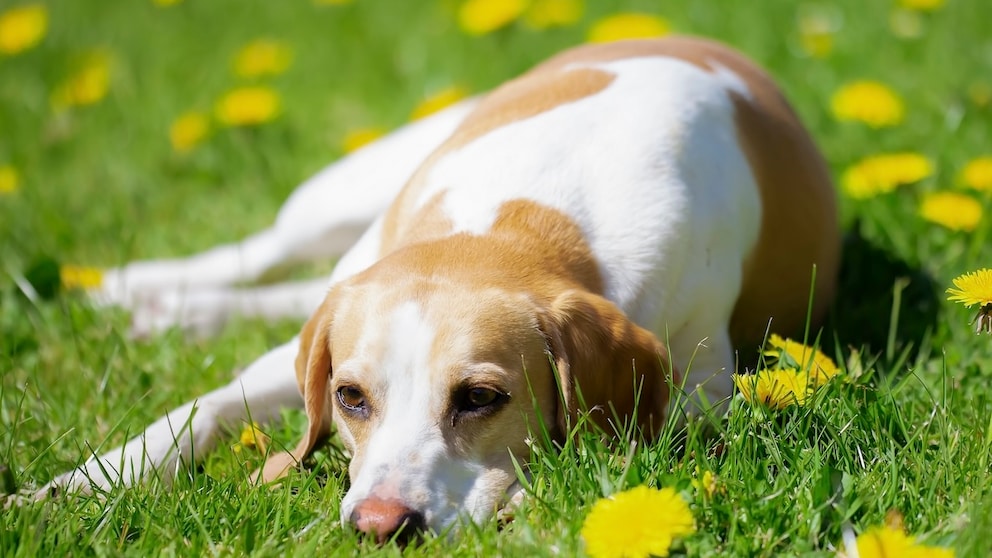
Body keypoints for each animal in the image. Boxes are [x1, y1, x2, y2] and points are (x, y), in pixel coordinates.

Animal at [42, 35, 840, 544]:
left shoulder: (704, 392)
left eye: (480, 398)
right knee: (264, 251)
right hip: (340, 196)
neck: (513, 223)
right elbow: (199, 409)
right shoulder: (319, 345)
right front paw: (77, 486)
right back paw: (148, 289)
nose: (378, 527)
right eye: (349, 399)